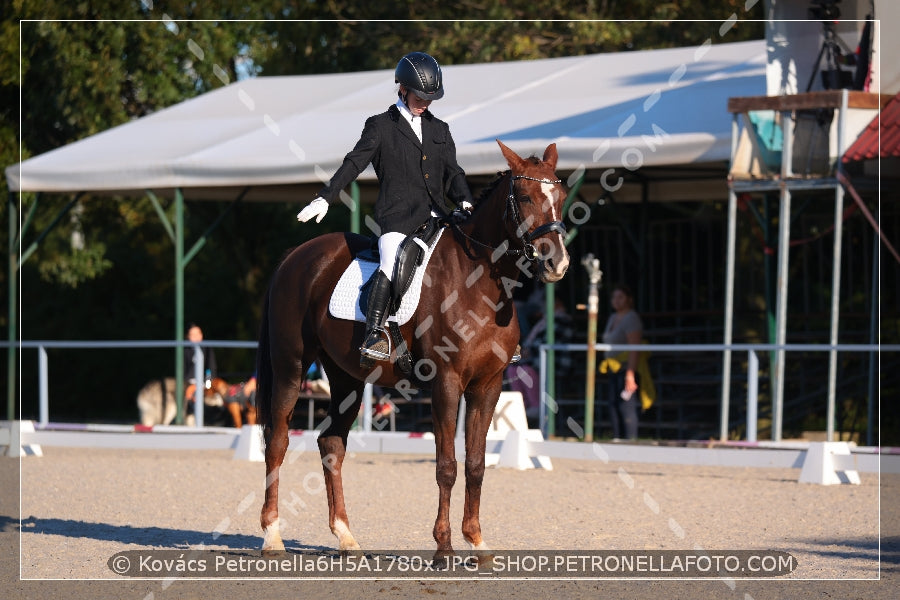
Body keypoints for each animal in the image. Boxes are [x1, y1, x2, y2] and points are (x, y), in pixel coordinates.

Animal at [253, 138, 568, 556]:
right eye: (526, 196)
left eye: (560, 197)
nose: (557, 264)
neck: (480, 283)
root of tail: (297, 255)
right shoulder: (446, 383)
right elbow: (447, 466)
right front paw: (444, 547)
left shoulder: (488, 386)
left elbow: (476, 464)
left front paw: (477, 542)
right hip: (291, 364)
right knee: (277, 440)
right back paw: (272, 535)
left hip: (346, 377)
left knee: (331, 443)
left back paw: (345, 536)